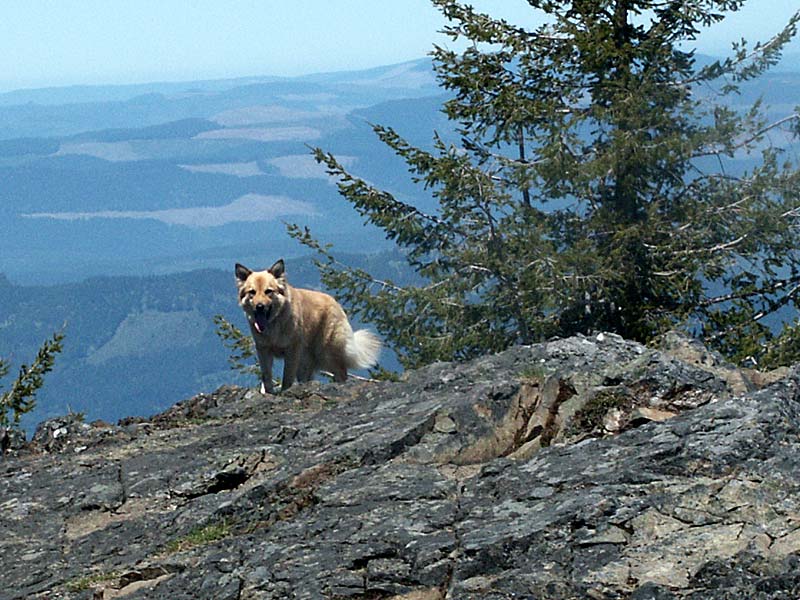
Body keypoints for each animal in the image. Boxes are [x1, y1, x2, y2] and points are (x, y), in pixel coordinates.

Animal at [234, 258, 382, 394]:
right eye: (252, 292)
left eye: (268, 291)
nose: (259, 307)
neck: (274, 321)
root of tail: (336, 303)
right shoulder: (263, 350)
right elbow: (266, 376)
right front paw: (269, 392)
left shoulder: (291, 351)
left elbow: (287, 377)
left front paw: (284, 391)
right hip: (305, 362)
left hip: (327, 353)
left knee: (341, 373)